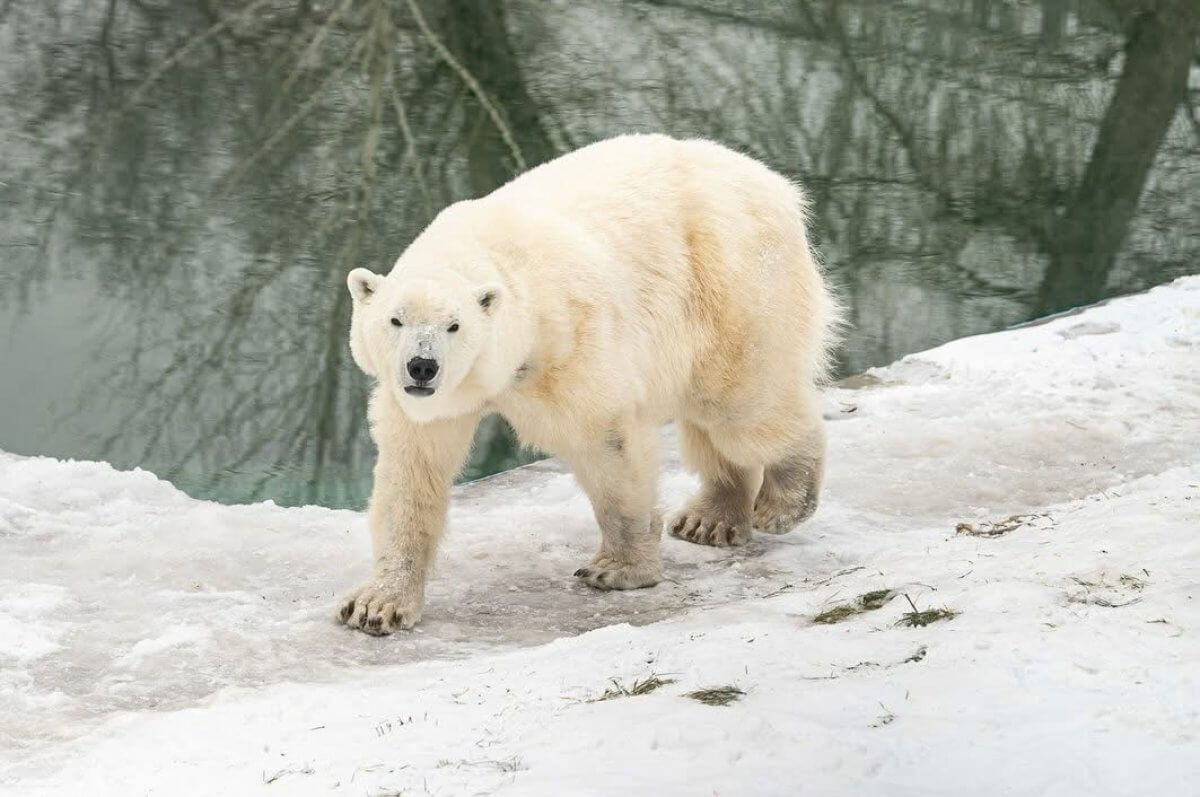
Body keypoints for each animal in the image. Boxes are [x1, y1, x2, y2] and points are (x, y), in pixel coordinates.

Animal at [343, 133, 840, 638]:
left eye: (454, 326)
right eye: (395, 320)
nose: (421, 367)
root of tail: (776, 185)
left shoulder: (570, 341)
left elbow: (605, 439)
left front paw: (616, 569)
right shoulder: (425, 404)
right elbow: (412, 473)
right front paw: (376, 605)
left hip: (734, 284)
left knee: (741, 406)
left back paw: (782, 501)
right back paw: (709, 521)